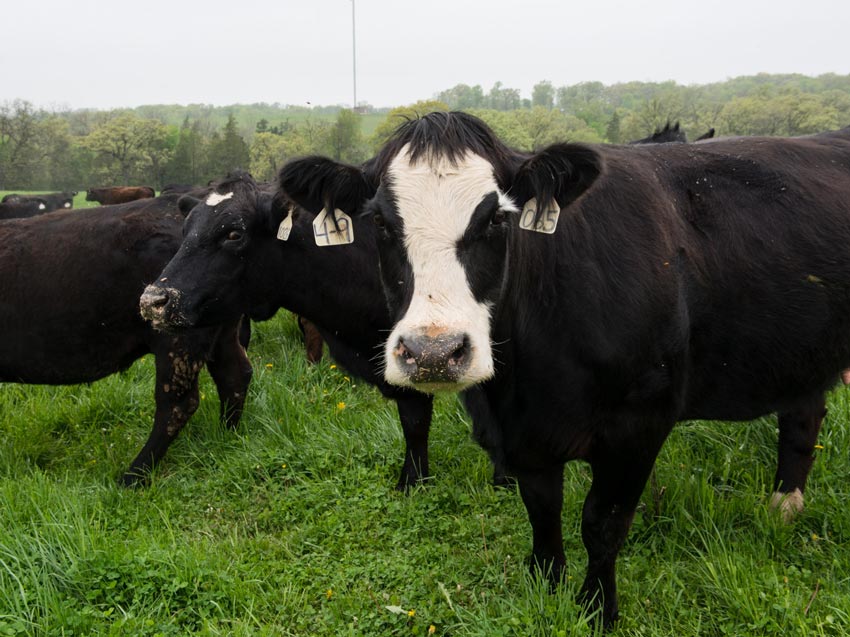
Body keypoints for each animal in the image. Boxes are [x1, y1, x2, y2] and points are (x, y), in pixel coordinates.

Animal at [0, 193, 252, 482]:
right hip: (221, 334)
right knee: (235, 376)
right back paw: (226, 435)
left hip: (178, 341)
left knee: (177, 404)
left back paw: (134, 475)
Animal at [276, 110, 848, 628]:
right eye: (379, 223)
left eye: (497, 219)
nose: (434, 352)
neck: (527, 384)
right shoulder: (523, 438)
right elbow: (542, 509)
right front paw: (544, 583)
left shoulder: (640, 424)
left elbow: (603, 522)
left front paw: (598, 608)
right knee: (804, 413)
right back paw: (783, 506)